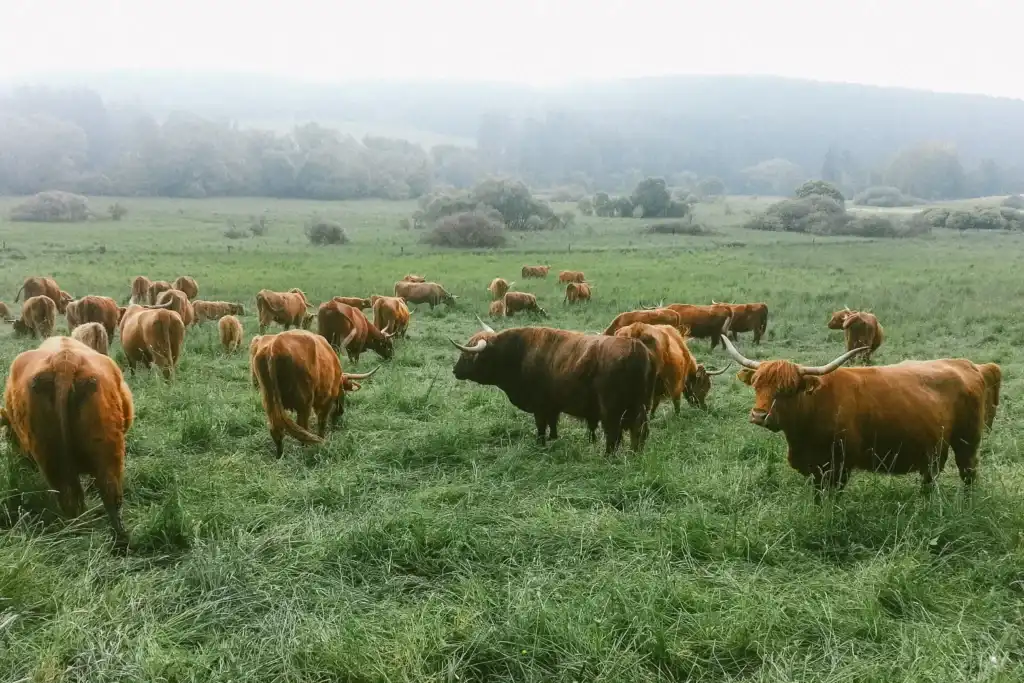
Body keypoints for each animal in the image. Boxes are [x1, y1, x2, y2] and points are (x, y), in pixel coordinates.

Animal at [251, 327, 380, 456]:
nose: (341, 412)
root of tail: (274, 347)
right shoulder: (325, 399)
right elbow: (322, 422)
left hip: (269, 402)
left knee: (277, 430)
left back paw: (280, 456)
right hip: (304, 403)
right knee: (302, 427)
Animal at [448, 317, 655, 454]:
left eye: (467, 355)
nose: (455, 371)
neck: (518, 352)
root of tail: (635, 346)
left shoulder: (539, 405)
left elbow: (541, 425)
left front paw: (540, 443)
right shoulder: (553, 404)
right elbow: (553, 423)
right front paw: (553, 439)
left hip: (612, 409)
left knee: (614, 433)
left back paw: (608, 456)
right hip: (639, 406)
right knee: (639, 430)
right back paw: (635, 453)